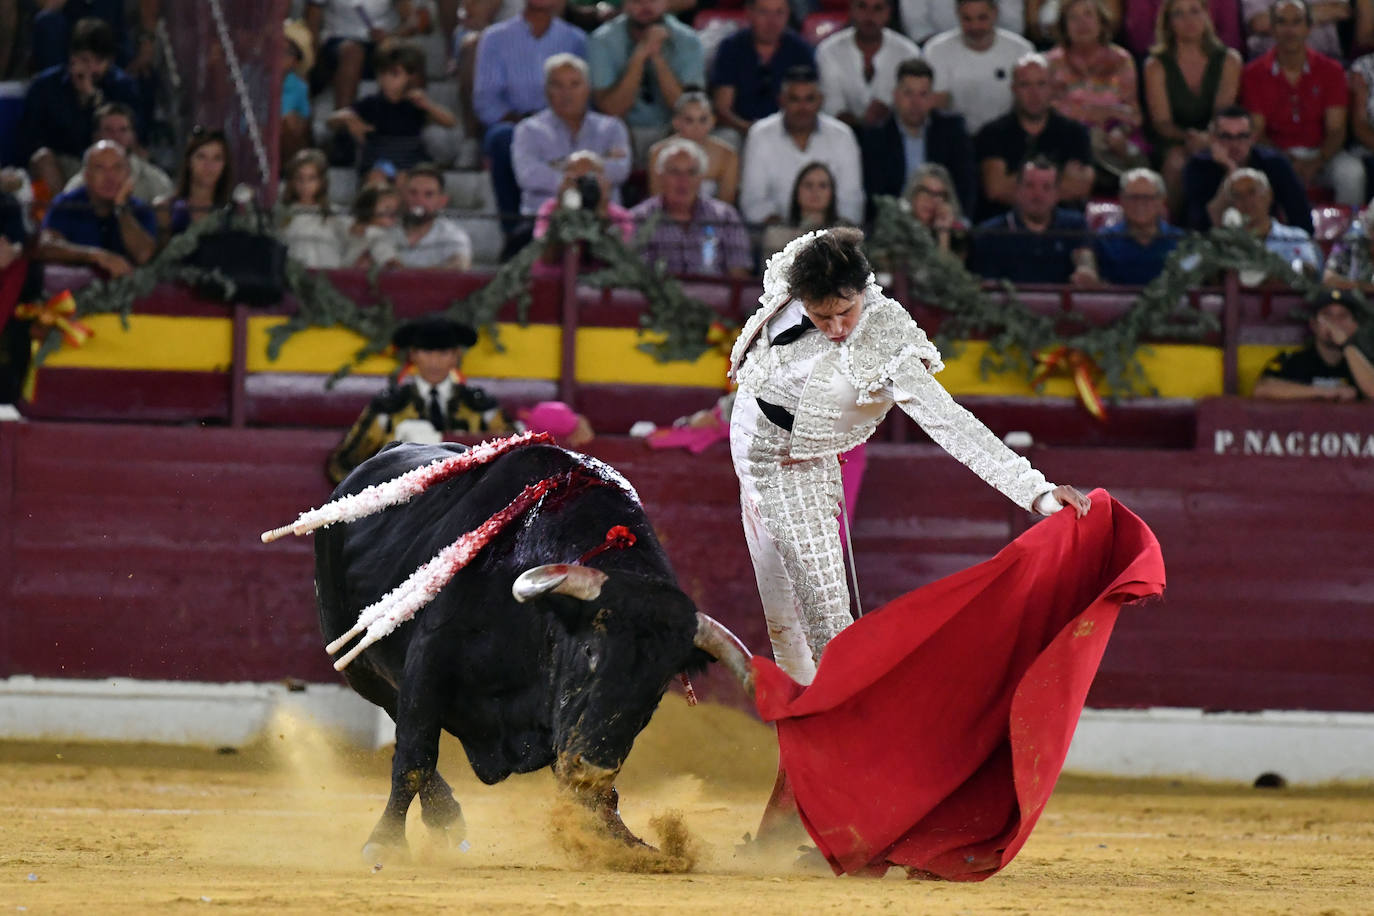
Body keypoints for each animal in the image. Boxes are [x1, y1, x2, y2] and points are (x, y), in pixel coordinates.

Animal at [314, 439, 752, 856]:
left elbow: (599, 795)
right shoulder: (428, 663)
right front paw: (385, 841)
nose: (593, 767)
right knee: (396, 716)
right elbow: (414, 758)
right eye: (589, 652)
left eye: (659, 687)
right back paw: (445, 817)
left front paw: (623, 843)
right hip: (357, 666)